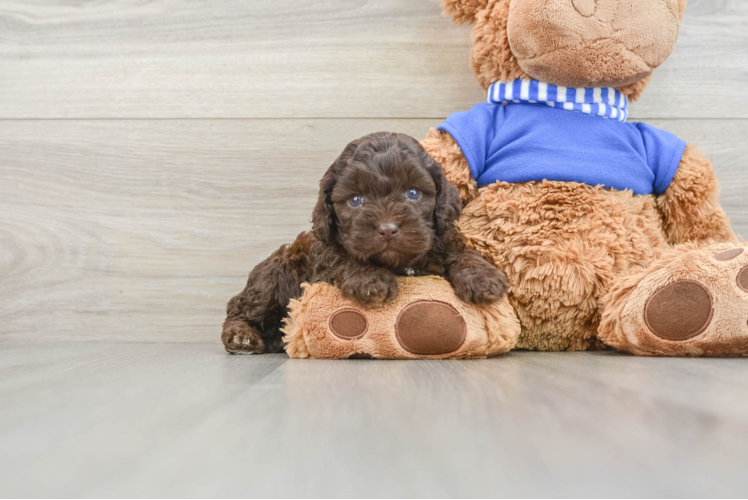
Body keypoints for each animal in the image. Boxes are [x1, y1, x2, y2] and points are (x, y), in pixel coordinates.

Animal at [219, 131, 506, 354]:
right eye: (356, 200)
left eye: (412, 193)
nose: (387, 229)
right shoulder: (324, 257)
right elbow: (345, 259)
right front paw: (371, 280)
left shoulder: (442, 240)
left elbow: (460, 252)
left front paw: (483, 277)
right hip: (273, 277)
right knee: (239, 306)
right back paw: (241, 336)